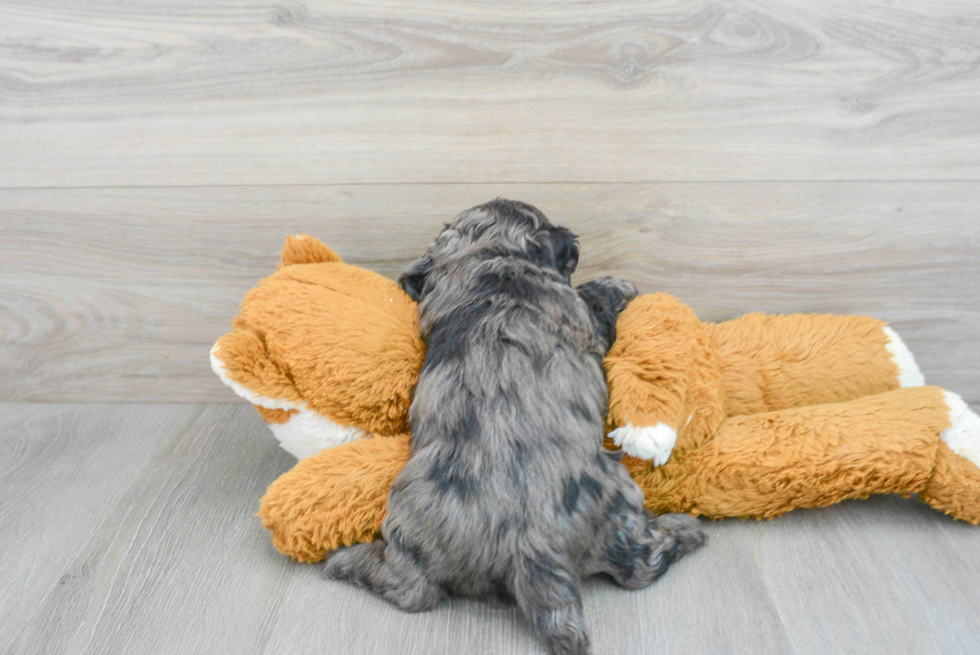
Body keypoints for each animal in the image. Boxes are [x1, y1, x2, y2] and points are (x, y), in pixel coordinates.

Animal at [326, 200, 708, 655]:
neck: (490, 258)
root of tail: (530, 545)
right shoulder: (582, 315)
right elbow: (594, 299)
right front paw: (617, 284)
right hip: (619, 501)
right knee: (640, 565)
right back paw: (685, 531)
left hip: (411, 529)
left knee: (412, 590)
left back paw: (347, 561)